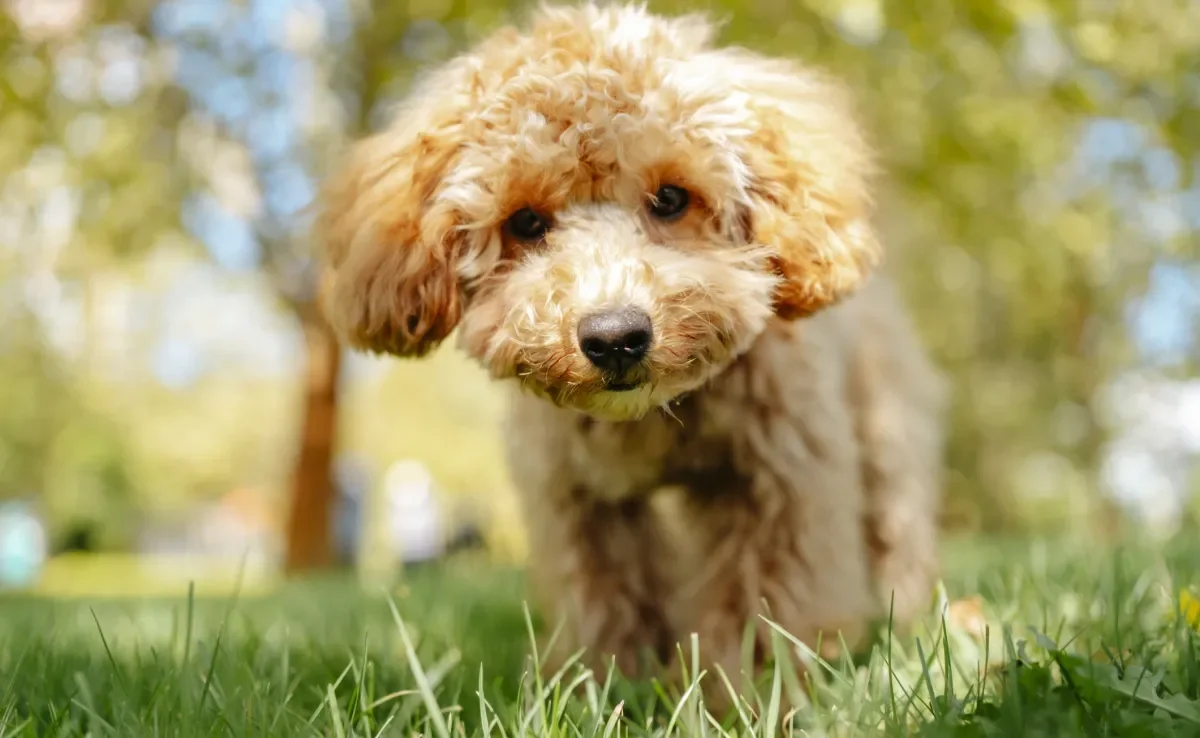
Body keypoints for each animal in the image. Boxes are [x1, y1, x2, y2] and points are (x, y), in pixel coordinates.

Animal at [316, 0, 945, 700]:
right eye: (525, 222)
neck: (654, 419)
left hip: (884, 429)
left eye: (671, 198)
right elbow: (607, 595)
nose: (615, 336)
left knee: (895, 525)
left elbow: (764, 600)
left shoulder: (778, 474)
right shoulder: (578, 498)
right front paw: (611, 688)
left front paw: (745, 694)